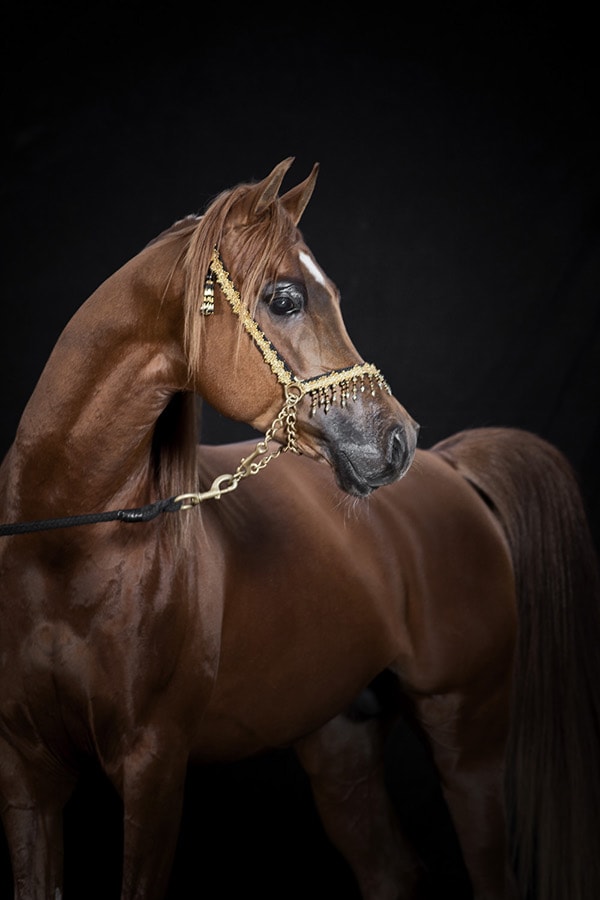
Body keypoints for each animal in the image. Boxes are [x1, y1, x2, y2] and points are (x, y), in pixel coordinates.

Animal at [1, 156, 600, 900]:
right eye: (285, 298)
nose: (397, 440)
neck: (67, 545)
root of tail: (453, 468)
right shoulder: (27, 772)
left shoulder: (153, 767)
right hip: (340, 742)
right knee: (390, 870)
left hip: (467, 734)